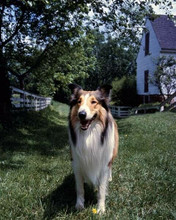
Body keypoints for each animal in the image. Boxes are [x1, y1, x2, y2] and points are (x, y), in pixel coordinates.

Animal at [68, 83, 119, 214]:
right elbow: (80, 188)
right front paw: (79, 205)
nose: (81, 114)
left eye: (93, 102)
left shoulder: (104, 164)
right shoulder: (77, 163)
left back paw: (110, 178)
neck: (89, 135)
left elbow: (101, 189)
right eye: (79, 101)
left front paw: (100, 209)